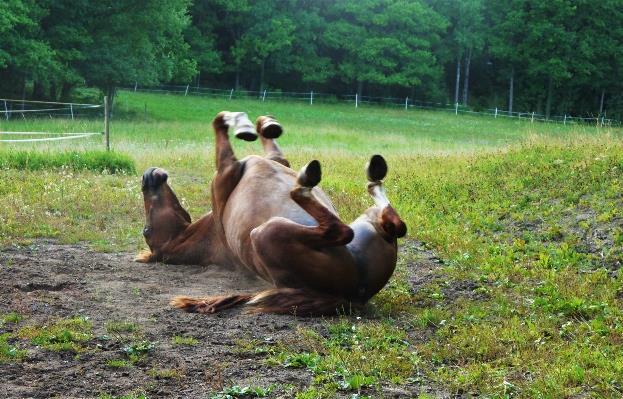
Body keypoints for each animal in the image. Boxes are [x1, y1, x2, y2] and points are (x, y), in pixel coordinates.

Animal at [137, 111, 408, 316]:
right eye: (146, 231)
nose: (146, 176)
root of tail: (352, 297)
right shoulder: (226, 171)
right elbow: (219, 120)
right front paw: (242, 123)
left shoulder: (273, 161)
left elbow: (271, 148)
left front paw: (266, 124)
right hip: (268, 231)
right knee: (341, 230)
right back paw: (306, 185)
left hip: (367, 220)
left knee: (394, 224)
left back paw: (373, 178)